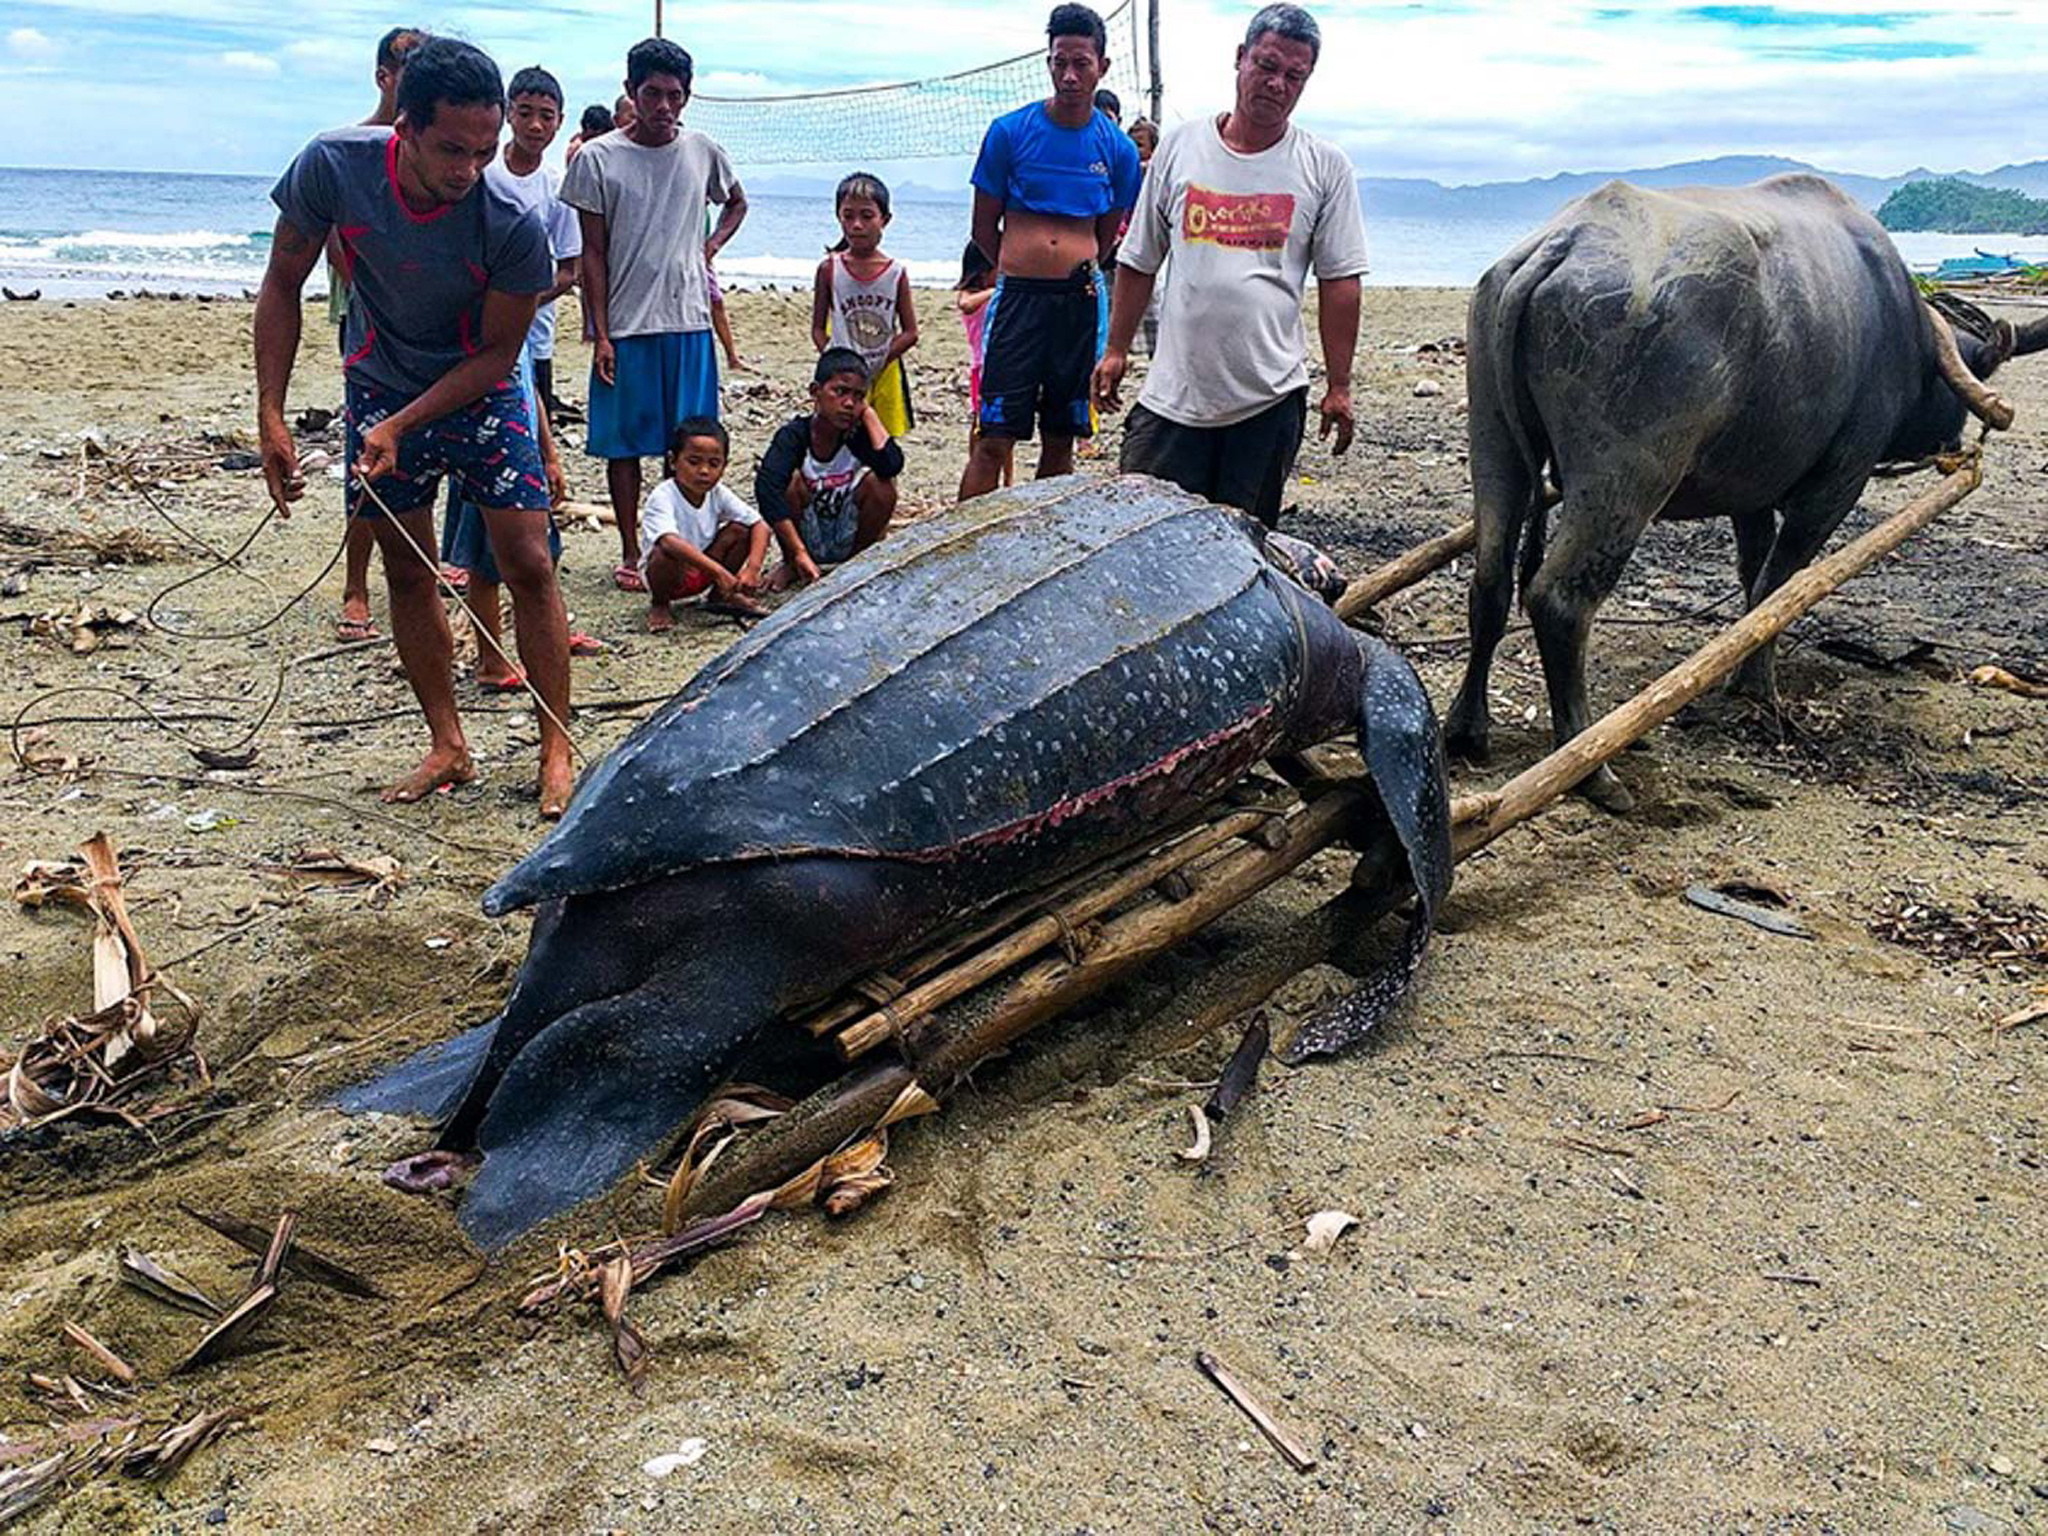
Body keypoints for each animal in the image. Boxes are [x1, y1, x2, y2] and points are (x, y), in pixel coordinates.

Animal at [1441, 173, 2031, 811]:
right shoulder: (1838, 480)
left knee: (1491, 580)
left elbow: (1753, 573)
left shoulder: (1751, 497)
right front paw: (1753, 685)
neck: (1900, 322)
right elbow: (1779, 585)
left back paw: (1466, 730)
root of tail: (1564, 242)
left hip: (1494, 441)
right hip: (1625, 479)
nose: (1952, 442)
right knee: (1559, 599)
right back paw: (1589, 767)